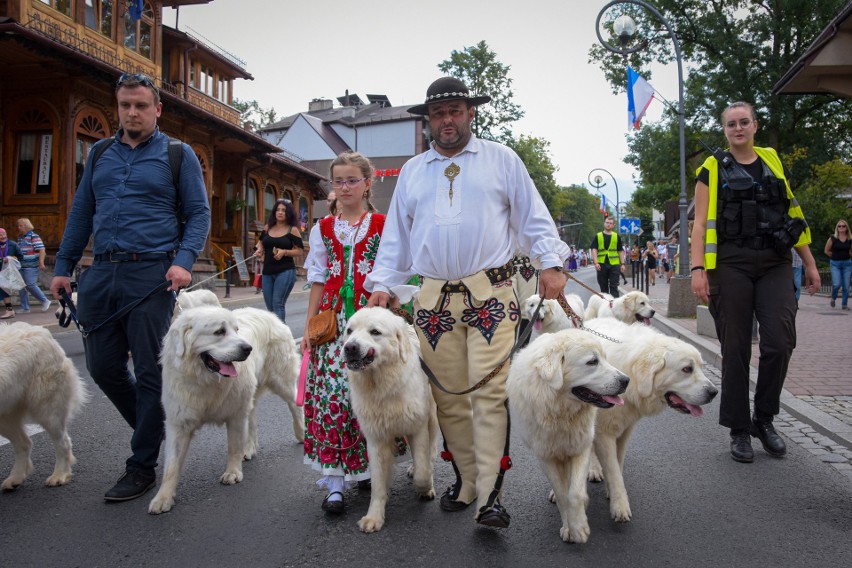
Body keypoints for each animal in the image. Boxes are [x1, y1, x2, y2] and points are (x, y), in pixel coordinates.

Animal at [0, 322, 88, 490]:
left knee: (63, 443)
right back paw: (15, 478)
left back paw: (59, 475)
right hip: (6, 416)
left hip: (47, 409)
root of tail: (40, 330)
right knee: (24, 444)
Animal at [148, 306, 302, 516]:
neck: (206, 380)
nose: (248, 348)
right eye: (219, 331)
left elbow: (233, 446)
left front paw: (233, 473)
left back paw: (302, 434)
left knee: (295, 406)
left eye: (236, 330)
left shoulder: (235, 413)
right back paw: (249, 448)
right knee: (252, 418)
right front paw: (163, 498)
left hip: (281, 381)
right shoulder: (178, 423)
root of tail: (270, 314)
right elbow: (171, 464)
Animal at [342, 306, 440, 532]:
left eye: (375, 332)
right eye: (349, 331)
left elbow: (423, 471)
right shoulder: (375, 437)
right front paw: (374, 517)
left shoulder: (417, 426)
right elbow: (378, 483)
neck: (382, 386)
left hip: (432, 415)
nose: (350, 347)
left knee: (431, 450)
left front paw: (425, 488)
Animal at [506, 328, 632, 540]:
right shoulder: (546, 456)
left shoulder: (581, 447)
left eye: (605, 358)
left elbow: (575, 493)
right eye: (592, 362)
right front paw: (570, 527)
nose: (626, 380)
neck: (559, 411)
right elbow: (563, 494)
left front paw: (579, 526)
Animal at [584, 318, 716, 520]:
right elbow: (613, 469)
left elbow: (617, 464)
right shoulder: (604, 434)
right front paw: (620, 504)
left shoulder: (625, 431)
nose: (714, 392)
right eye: (687, 369)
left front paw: (612, 491)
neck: (631, 376)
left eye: (701, 367)